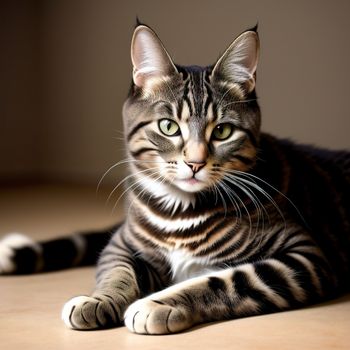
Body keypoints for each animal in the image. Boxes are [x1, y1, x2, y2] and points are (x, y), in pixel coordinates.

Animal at [0, 23, 350, 334]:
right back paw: (14, 251)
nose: (195, 162)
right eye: (168, 126)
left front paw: (159, 304)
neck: (178, 211)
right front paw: (98, 300)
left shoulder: (304, 256)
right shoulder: (123, 243)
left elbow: (223, 281)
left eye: (222, 131)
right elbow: (117, 270)